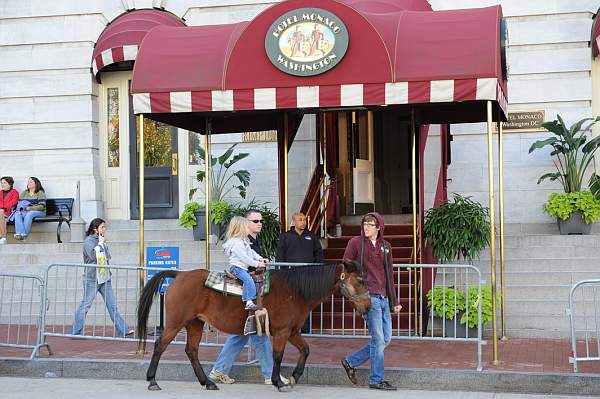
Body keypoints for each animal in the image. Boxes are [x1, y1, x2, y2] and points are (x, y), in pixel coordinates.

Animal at [137, 260, 370, 394]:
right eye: (360, 280)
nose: (368, 306)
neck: (295, 291)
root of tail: (180, 275)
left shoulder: (292, 331)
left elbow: (305, 350)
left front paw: (294, 376)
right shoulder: (282, 332)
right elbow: (277, 356)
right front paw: (279, 382)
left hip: (195, 323)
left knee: (191, 351)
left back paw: (207, 382)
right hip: (175, 322)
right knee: (159, 345)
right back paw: (152, 380)